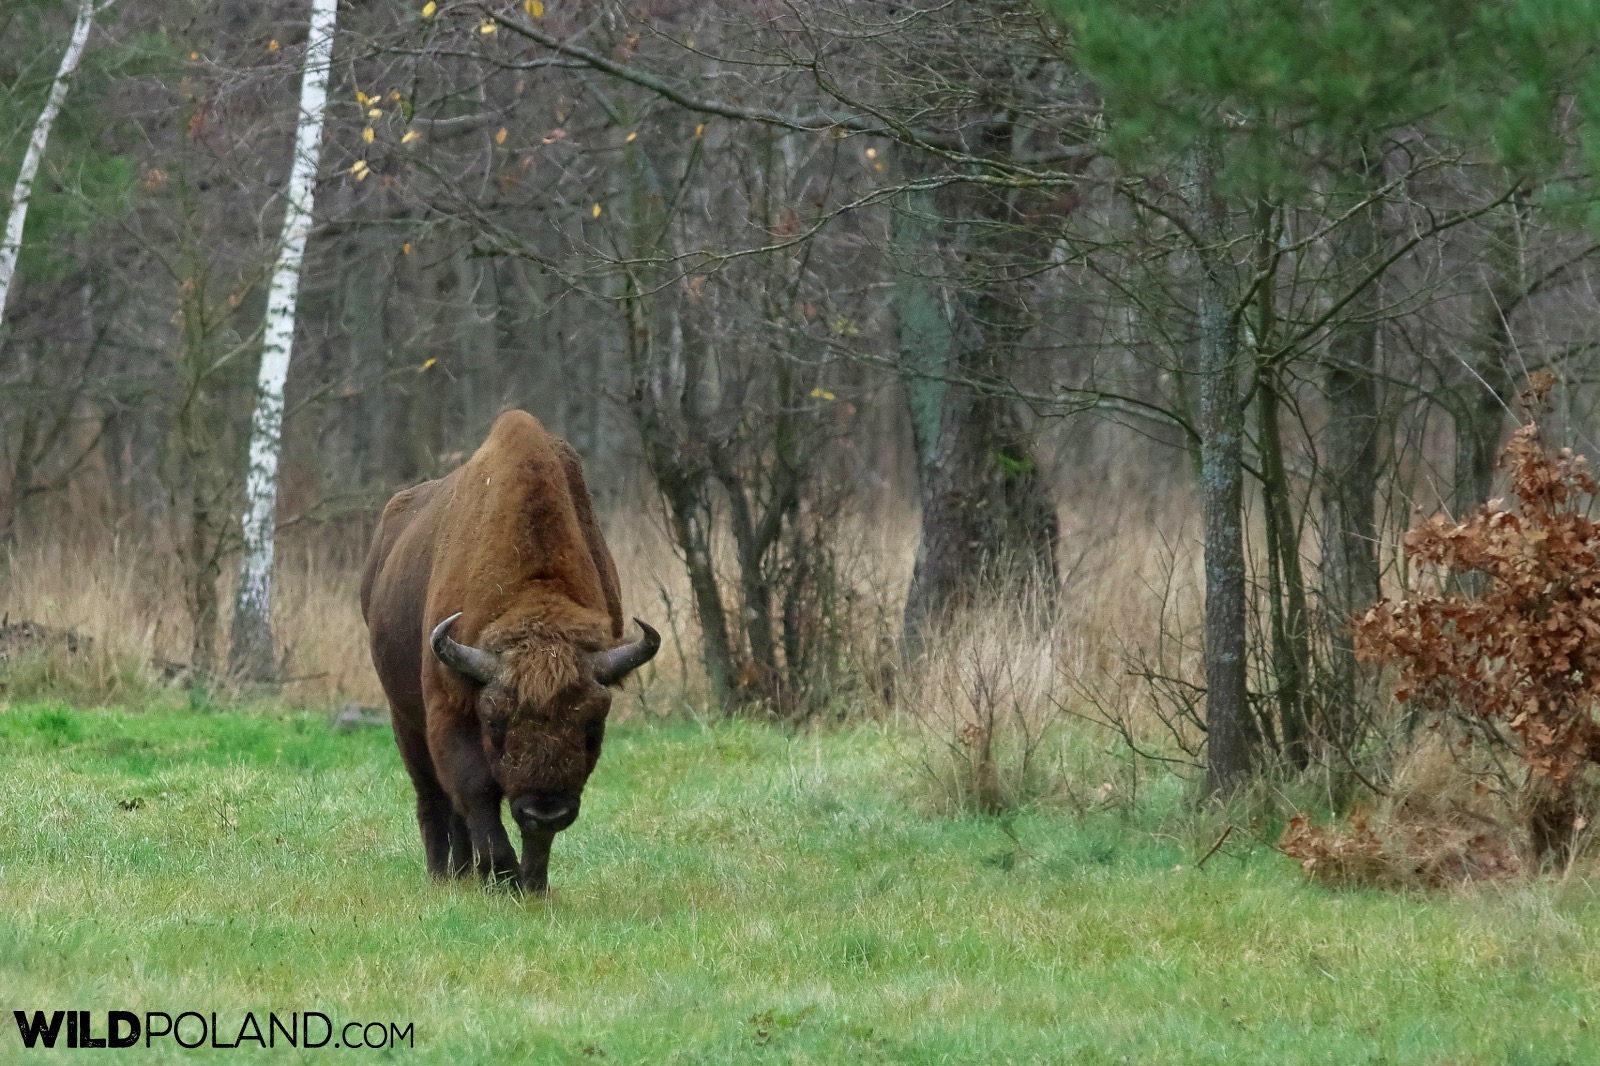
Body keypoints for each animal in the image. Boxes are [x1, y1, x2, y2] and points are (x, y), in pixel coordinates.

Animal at [361, 406, 656, 889]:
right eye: (495, 721)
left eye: (593, 725)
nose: (546, 809)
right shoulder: (449, 710)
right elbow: (477, 793)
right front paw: (502, 875)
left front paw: (532, 884)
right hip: (403, 718)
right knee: (433, 799)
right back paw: (443, 876)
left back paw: (465, 873)